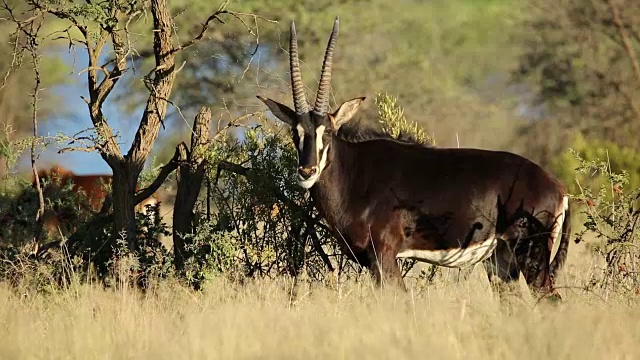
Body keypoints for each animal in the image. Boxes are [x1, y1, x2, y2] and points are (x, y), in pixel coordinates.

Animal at [258, 17, 572, 298]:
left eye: (328, 132)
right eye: (295, 132)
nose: (307, 171)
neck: (354, 173)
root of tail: (559, 188)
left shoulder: (383, 255)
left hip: (529, 254)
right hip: (501, 263)